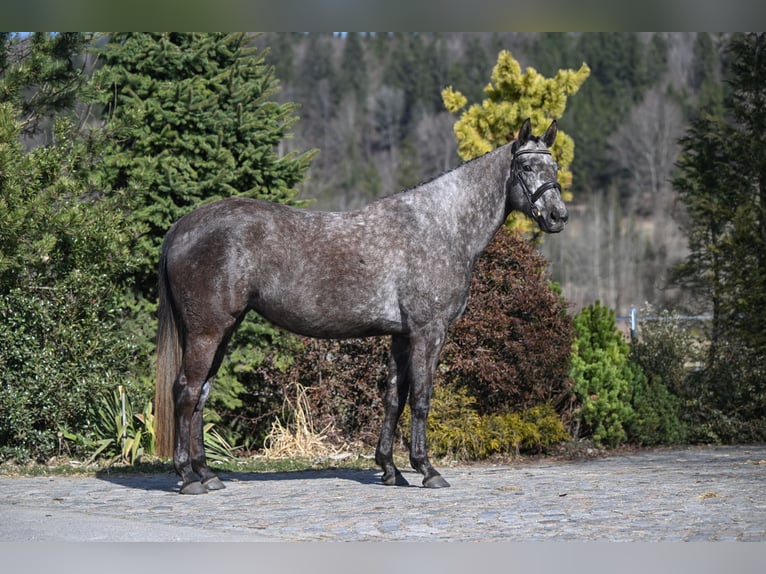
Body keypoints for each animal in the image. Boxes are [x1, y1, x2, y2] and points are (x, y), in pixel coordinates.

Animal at [154, 118, 568, 494]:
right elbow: (421, 398)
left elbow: (393, 399)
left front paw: (390, 469)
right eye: (526, 168)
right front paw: (426, 469)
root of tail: (181, 227)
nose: (558, 216)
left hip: (223, 330)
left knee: (201, 394)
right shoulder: (428, 332)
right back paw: (189, 478)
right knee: (186, 391)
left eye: (555, 168)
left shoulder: (401, 336)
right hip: (207, 331)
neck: (439, 226)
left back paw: (207, 474)